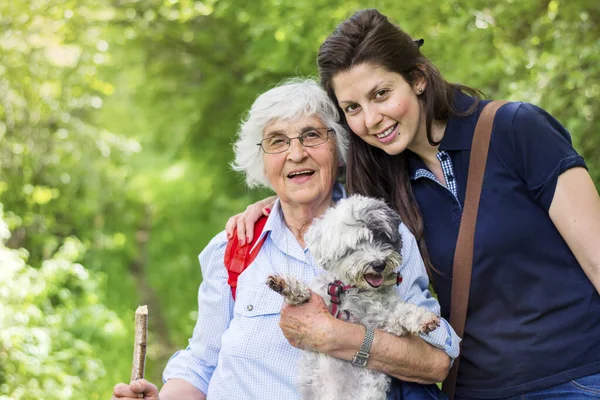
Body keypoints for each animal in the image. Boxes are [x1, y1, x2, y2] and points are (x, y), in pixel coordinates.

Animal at [268, 195, 440, 400]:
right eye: (356, 244)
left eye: (382, 236)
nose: (379, 264)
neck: (352, 290)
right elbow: (304, 295)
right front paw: (286, 285)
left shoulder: (384, 325)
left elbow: (402, 312)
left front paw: (423, 318)